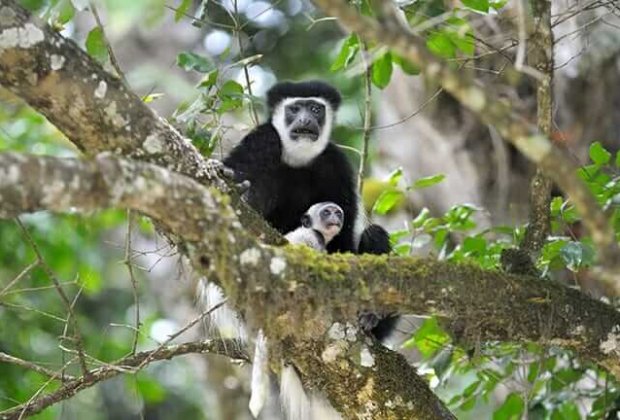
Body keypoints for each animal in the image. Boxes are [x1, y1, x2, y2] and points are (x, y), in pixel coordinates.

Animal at [223, 80, 388, 254]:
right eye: (295, 109)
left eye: (315, 109)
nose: (305, 120)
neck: (297, 157)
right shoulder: (262, 139)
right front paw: (238, 188)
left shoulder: (336, 165)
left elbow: (345, 233)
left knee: (376, 233)